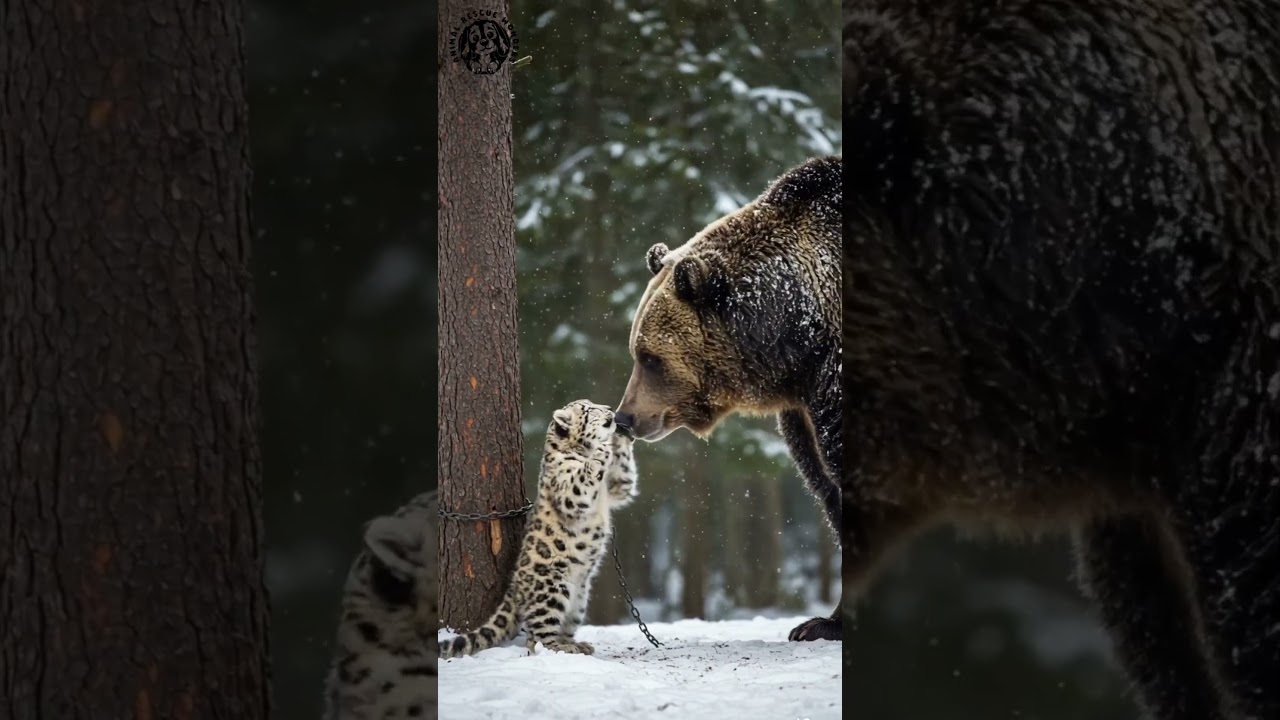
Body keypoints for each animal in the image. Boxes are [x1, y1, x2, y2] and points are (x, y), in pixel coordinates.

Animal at [438, 398, 638, 659]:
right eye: (588, 409)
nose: (611, 411)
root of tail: (514, 588)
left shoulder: (614, 486)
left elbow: (624, 480)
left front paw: (620, 438)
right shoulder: (567, 490)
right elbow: (581, 481)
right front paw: (603, 449)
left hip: (579, 600)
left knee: (563, 626)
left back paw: (577, 645)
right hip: (552, 589)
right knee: (537, 636)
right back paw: (560, 648)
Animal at [615, 155, 843, 643]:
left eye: (650, 357)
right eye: (636, 351)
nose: (625, 417)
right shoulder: (804, 407)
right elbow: (825, 483)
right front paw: (820, 623)